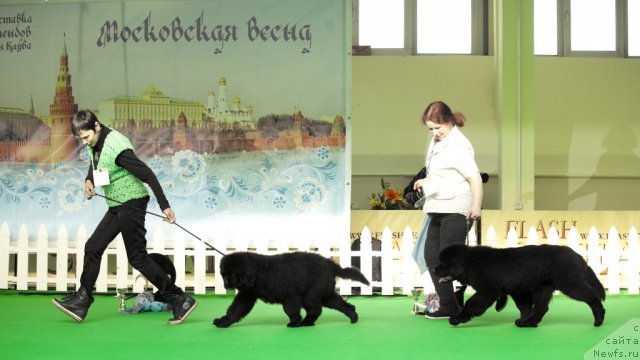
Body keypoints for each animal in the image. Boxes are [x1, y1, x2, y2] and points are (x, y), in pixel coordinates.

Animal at [212, 252, 370, 328]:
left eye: (233, 275)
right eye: (223, 274)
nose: (226, 283)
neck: (258, 273)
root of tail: (330, 264)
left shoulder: (291, 295)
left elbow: (290, 310)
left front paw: (294, 322)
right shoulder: (246, 294)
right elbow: (235, 310)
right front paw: (223, 322)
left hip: (311, 294)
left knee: (316, 309)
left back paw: (305, 323)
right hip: (324, 293)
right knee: (342, 304)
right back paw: (353, 317)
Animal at [436, 245, 604, 326]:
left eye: (444, 264)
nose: (433, 269)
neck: (470, 263)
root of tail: (577, 255)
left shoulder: (488, 291)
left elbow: (471, 304)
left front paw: (457, 319)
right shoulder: (517, 290)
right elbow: (524, 307)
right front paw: (523, 318)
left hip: (570, 283)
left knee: (593, 298)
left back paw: (599, 319)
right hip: (543, 287)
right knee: (541, 307)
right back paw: (528, 323)